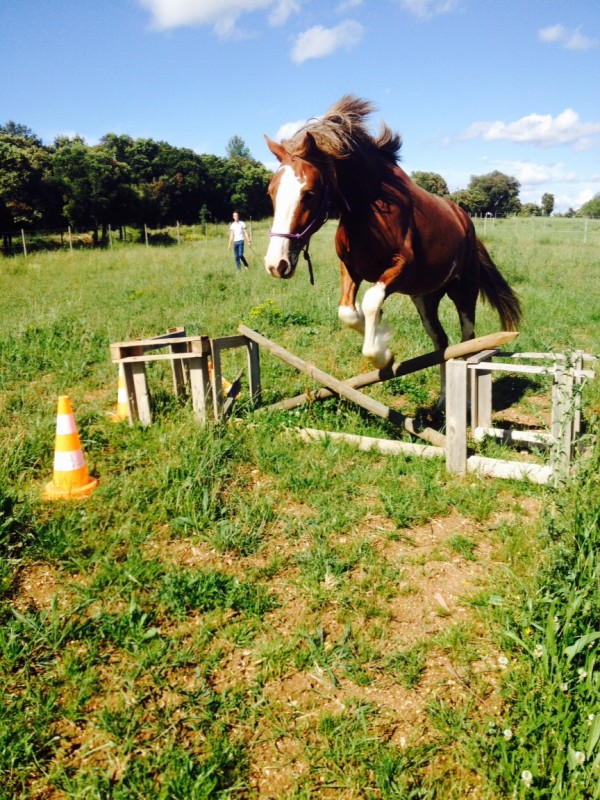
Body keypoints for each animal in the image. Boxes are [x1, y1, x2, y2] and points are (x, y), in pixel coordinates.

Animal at [262, 97, 520, 404]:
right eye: (271, 192)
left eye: (309, 193)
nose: (276, 264)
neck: (369, 210)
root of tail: (466, 223)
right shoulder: (351, 269)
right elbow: (348, 312)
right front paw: (381, 340)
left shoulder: (400, 268)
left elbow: (372, 301)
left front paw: (382, 354)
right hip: (425, 298)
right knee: (441, 342)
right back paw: (443, 400)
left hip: (463, 292)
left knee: (466, 340)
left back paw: (464, 398)